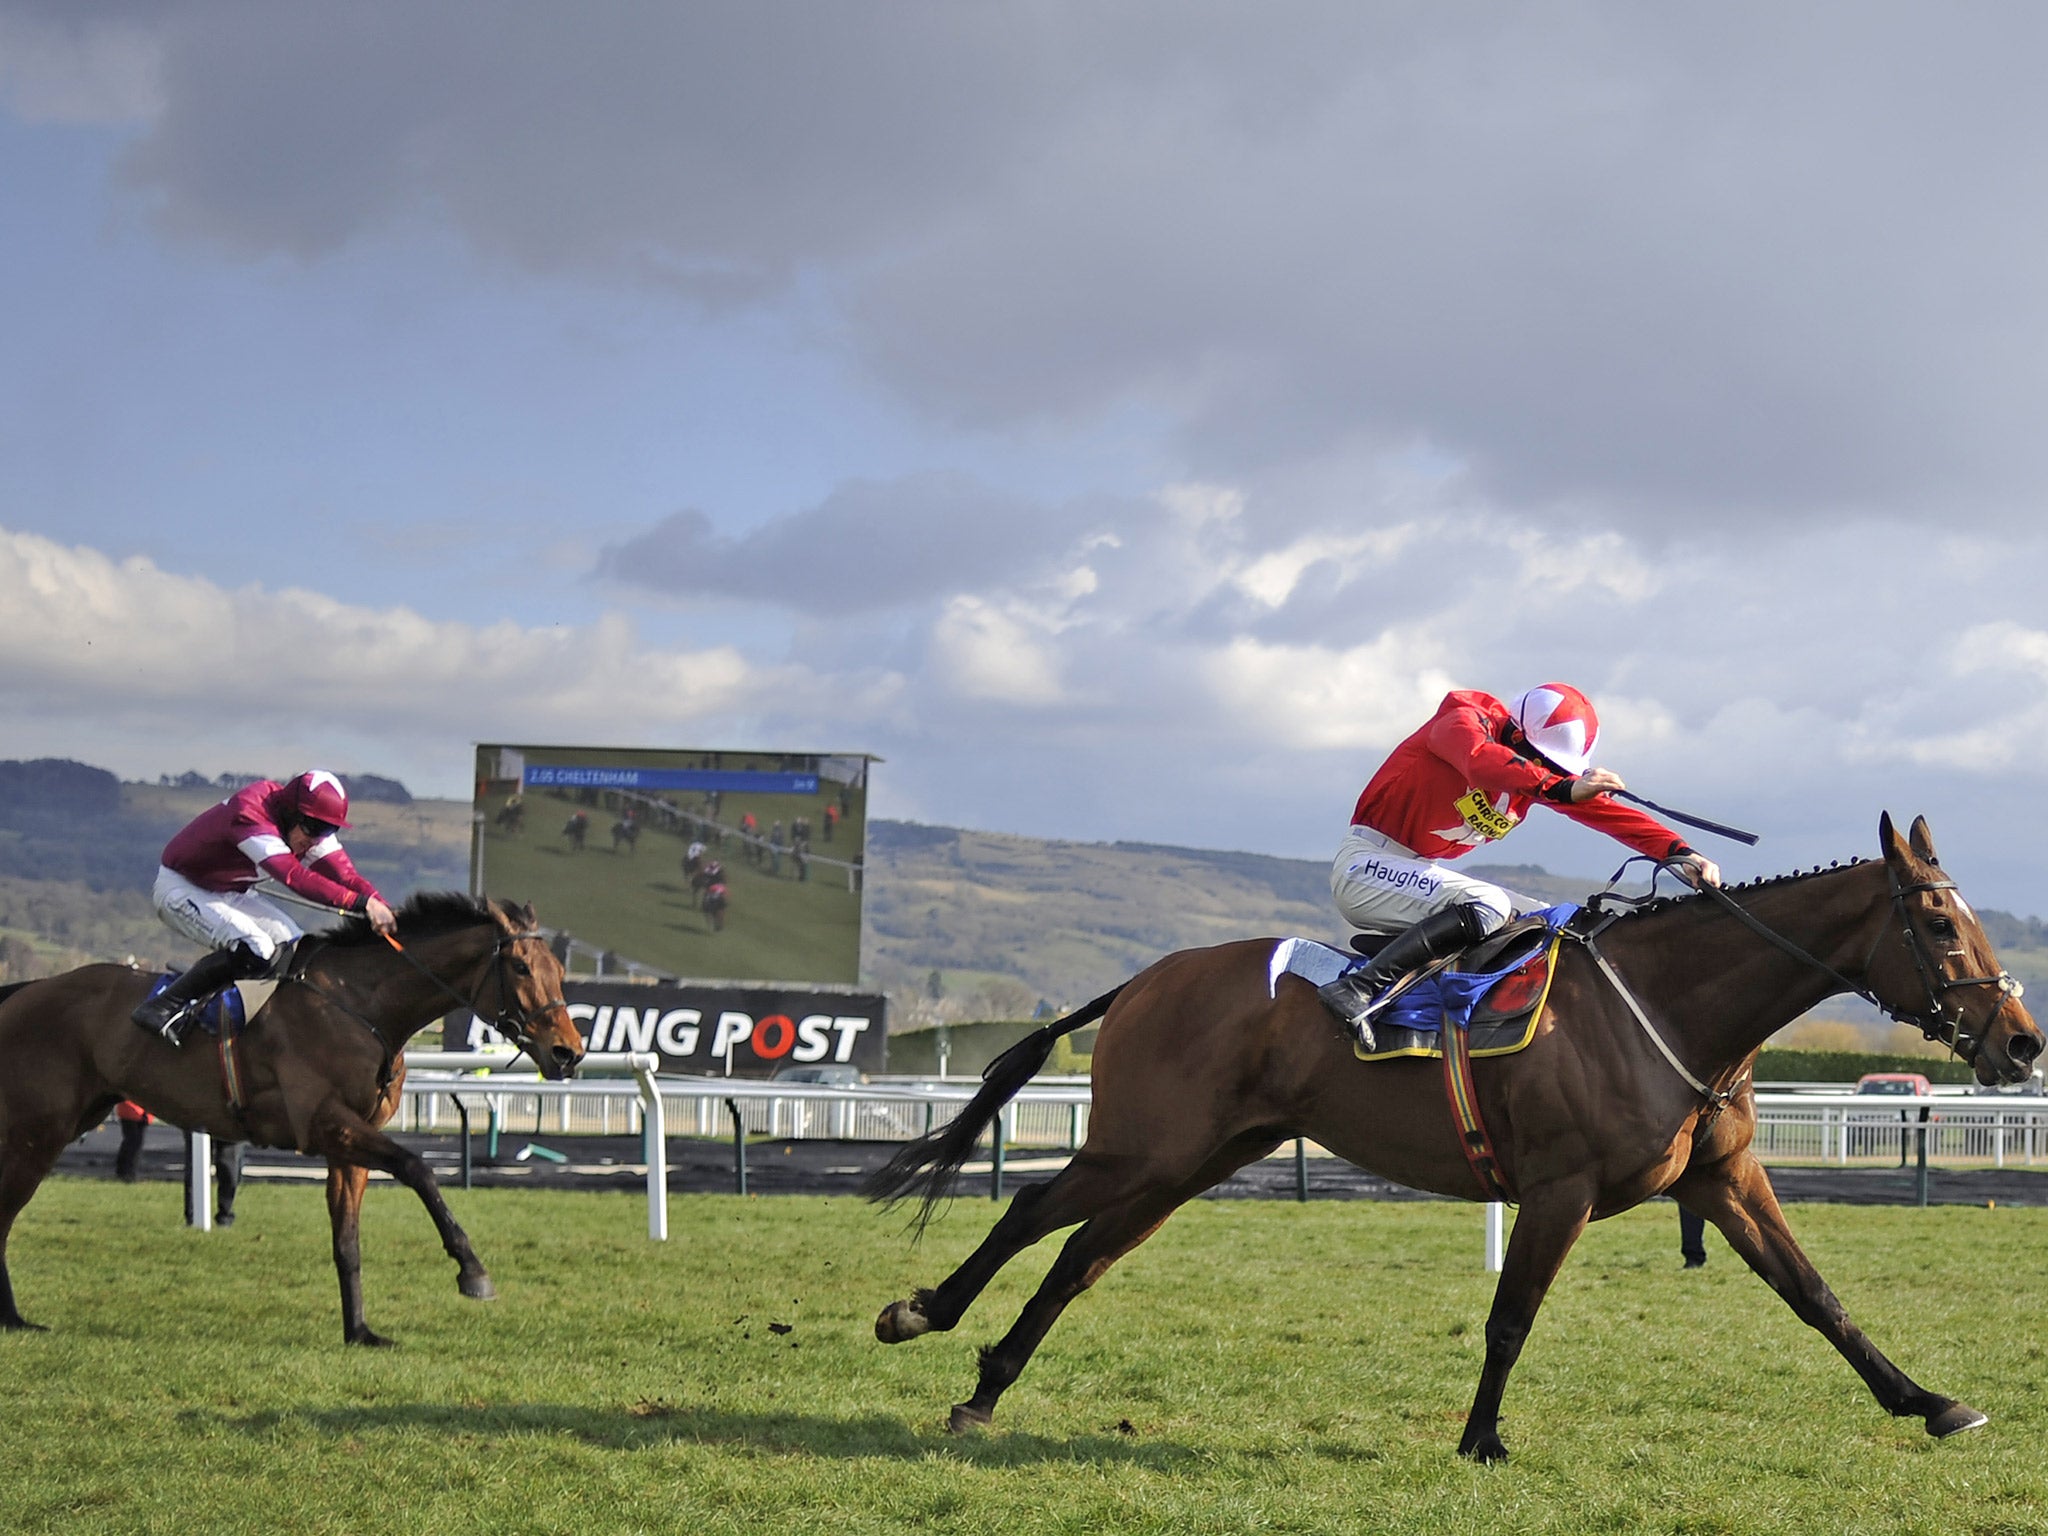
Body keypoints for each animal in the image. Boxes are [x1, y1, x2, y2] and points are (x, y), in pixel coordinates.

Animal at [0, 888, 585, 1343]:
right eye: (520, 966)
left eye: (560, 970)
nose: (569, 1052)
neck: (361, 1005)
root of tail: (25, 990)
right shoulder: (324, 1123)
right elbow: (418, 1168)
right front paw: (473, 1272)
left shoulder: (347, 1141)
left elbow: (347, 1240)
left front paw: (360, 1331)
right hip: (38, 1130)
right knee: (5, 1213)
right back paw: (13, 1319)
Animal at [872, 811, 2039, 1458]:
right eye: (1938, 922)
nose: (2023, 1043)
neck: (1671, 1008)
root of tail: (1146, 978)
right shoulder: (1560, 1188)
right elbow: (1510, 1319)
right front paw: (1481, 1438)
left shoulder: (1721, 1179)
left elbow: (1817, 1298)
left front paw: (1928, 1402)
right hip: (1145, 1145)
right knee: (1031, 1209)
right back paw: (919, 1314)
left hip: (1197, 1159)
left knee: (1079, 1257)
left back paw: (984, 1391)